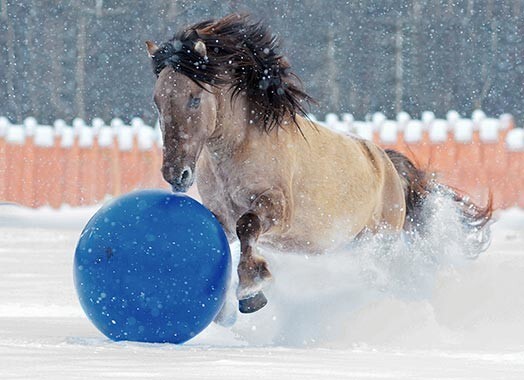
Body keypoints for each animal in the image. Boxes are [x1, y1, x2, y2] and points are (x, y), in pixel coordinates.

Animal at [144, 13, 492, 316]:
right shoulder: (222, 218)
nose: (175, 174)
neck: (239, 149)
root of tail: (387, 163)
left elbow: (248, 226)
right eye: (157, 101)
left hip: (380, 242)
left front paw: (252, 291)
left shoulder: (277, 210)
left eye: (193, 98)